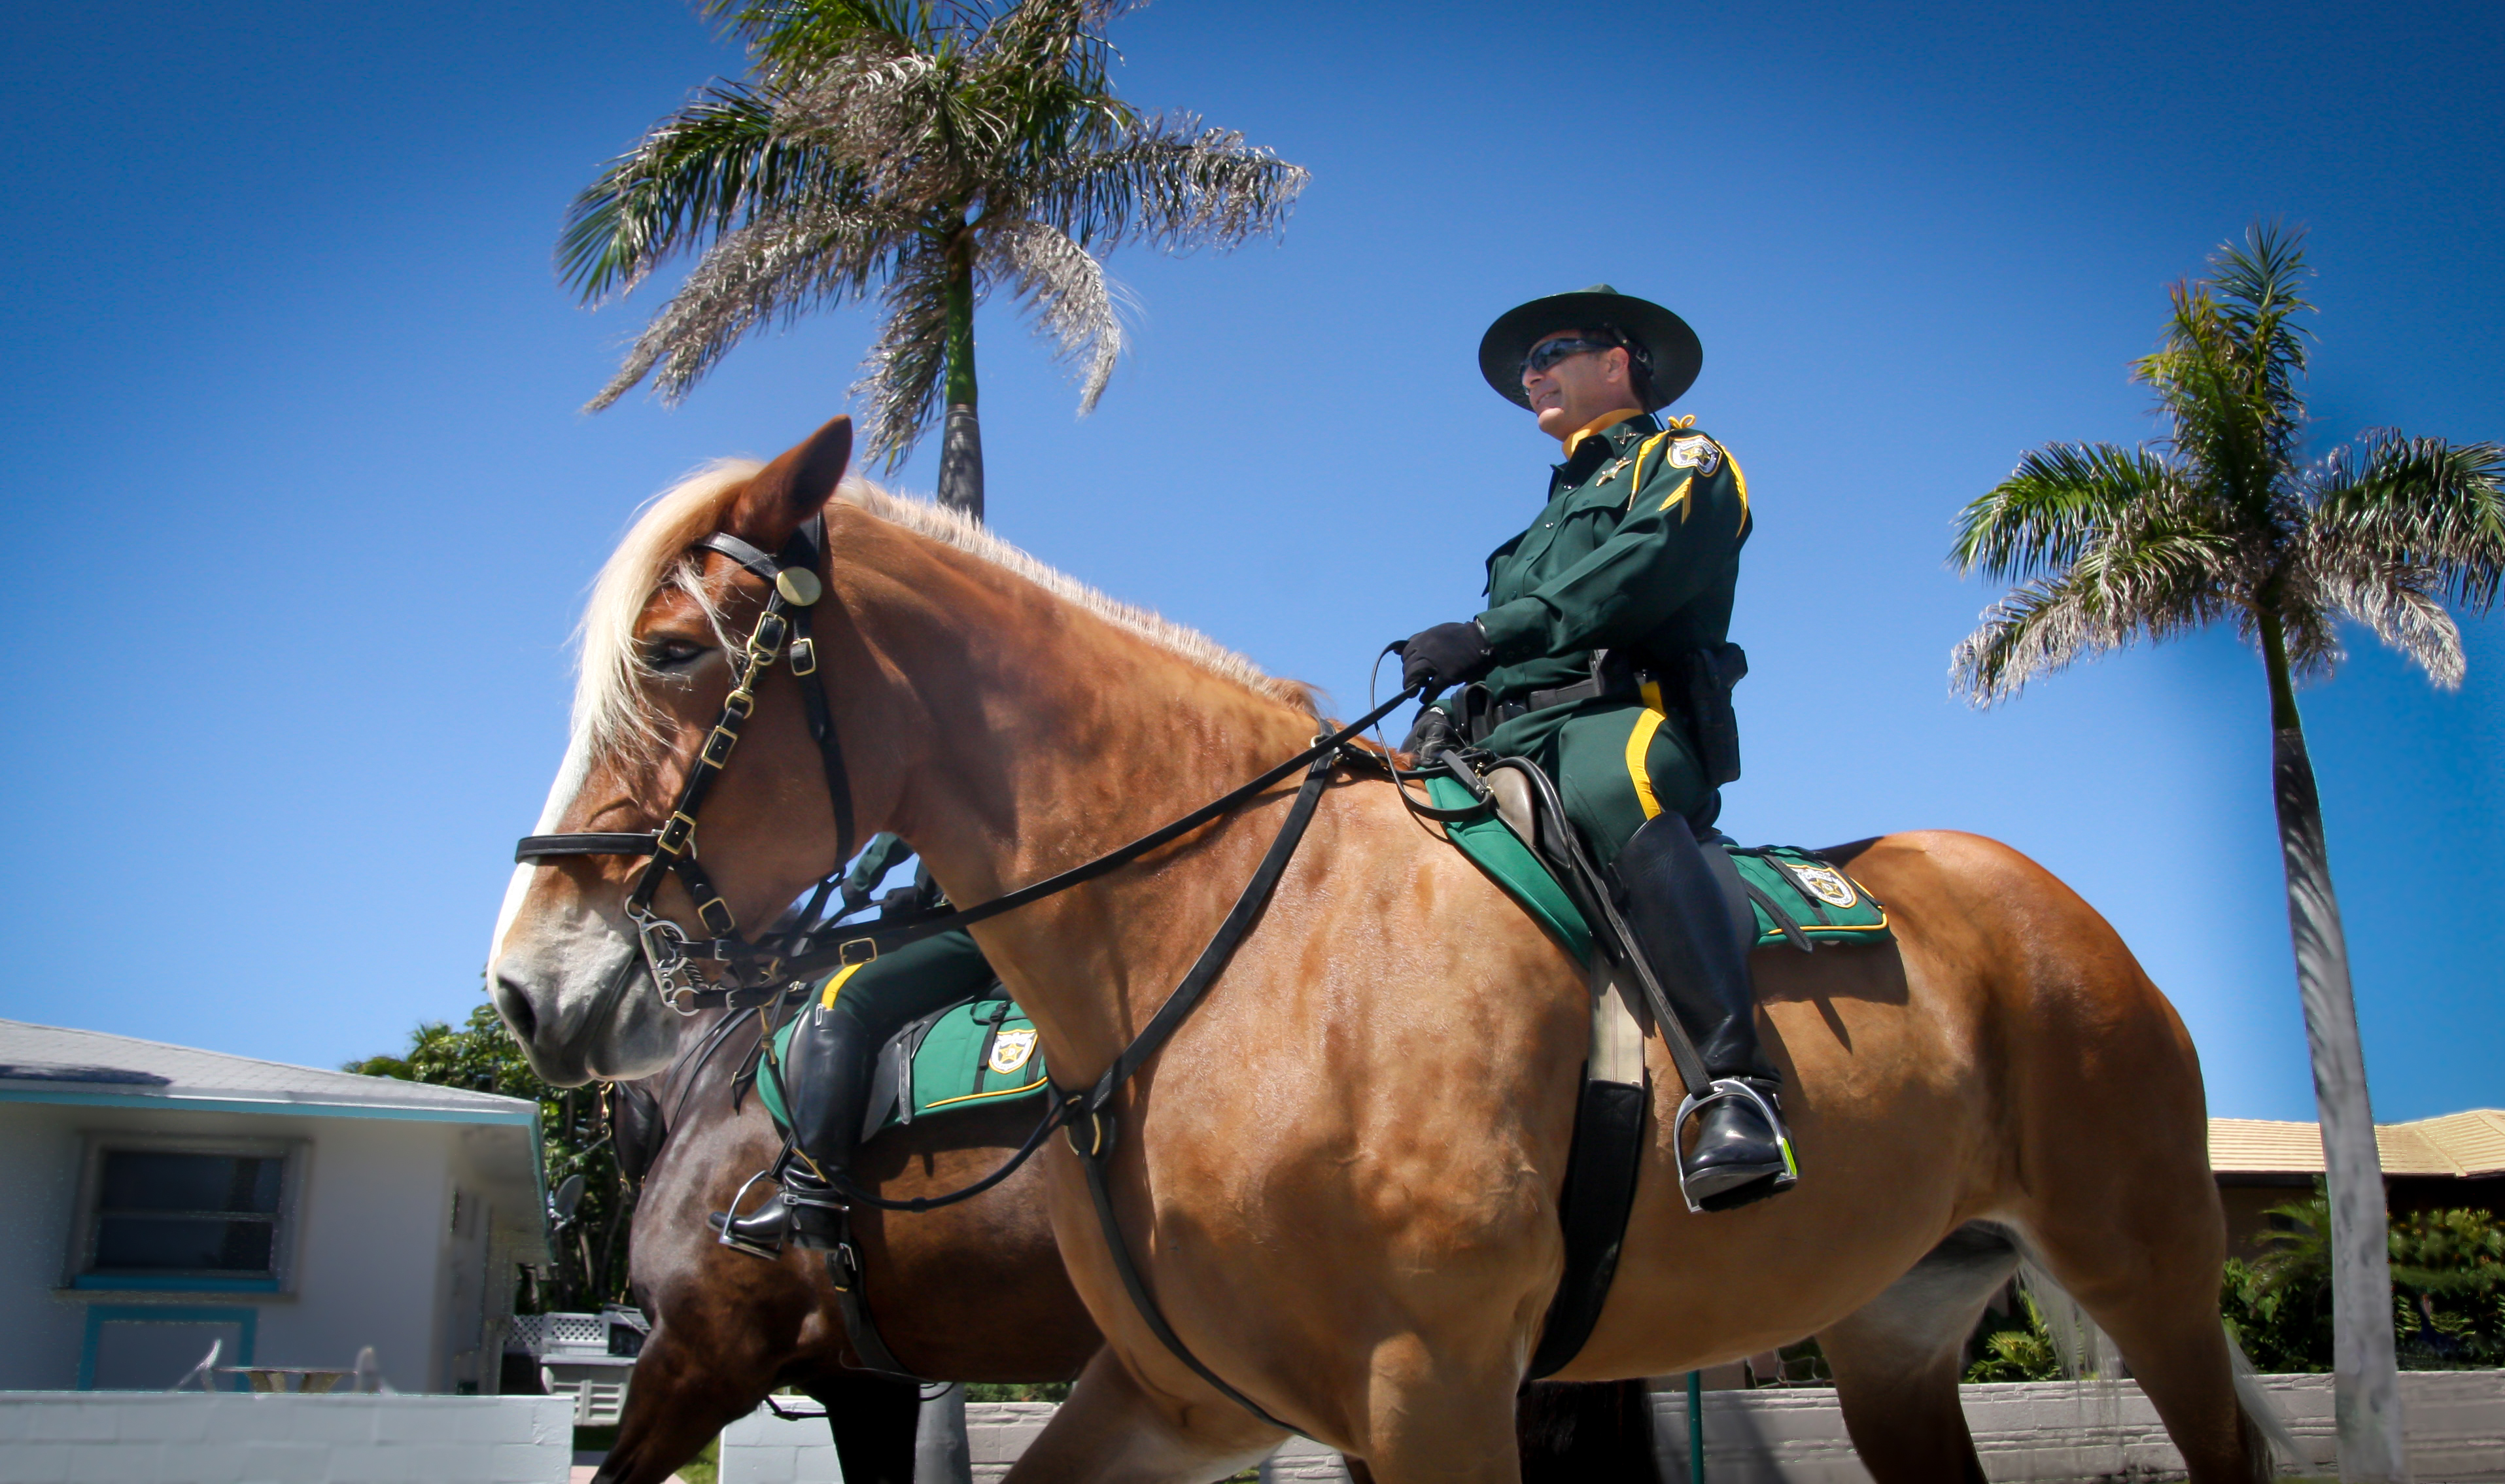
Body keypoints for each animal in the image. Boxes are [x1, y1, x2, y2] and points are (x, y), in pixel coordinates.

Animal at [488, 416, 2274, 1484]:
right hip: (1895, 1332)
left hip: (2151, 1274)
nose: (530, 982)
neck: (1228, 949)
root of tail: (2048, 905)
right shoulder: (1185, 1397)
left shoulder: (1435, 1387)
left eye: (669, 651)